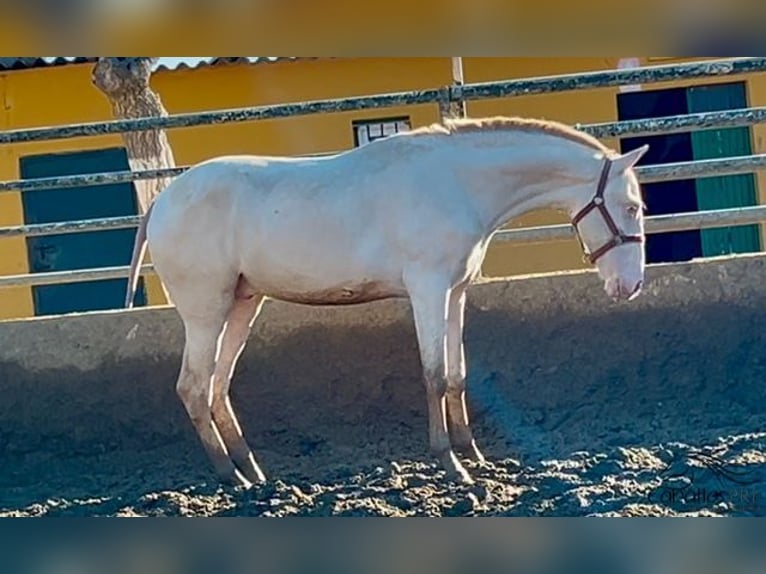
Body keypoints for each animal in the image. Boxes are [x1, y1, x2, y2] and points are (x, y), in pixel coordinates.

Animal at [124, 117, 648, 490]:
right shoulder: (427, 289)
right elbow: (434, 374)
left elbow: (457, 375)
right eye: (632, 207)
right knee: (194, 388)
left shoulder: (454, 292)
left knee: (217, 388)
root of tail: (164, 201)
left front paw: (475, 456)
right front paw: (452, 465)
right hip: (206, 313)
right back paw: (231, 478)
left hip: (242, 305)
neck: (454, 181)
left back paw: (255, 475)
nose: (630, 285)